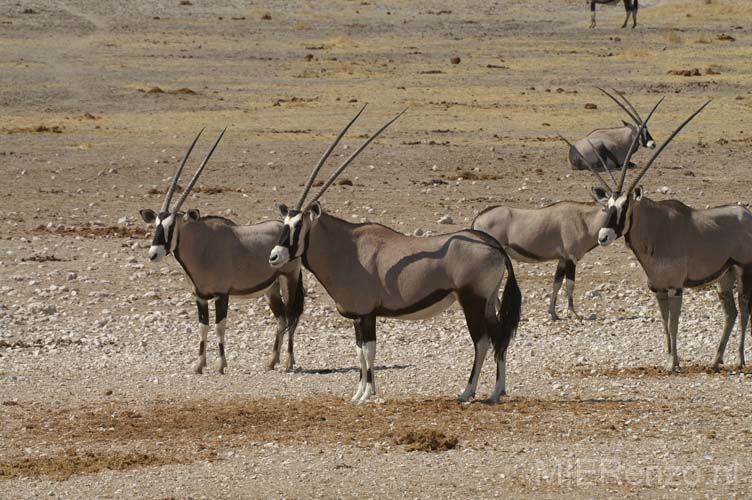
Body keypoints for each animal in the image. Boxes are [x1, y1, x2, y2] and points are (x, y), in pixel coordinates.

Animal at [140, 131, 304, 374]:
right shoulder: (199, 296)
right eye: (156, 225)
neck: (202, 246)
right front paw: (199, 365)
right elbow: (203, 328)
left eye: (171, 226)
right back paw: (271, 361)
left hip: (289, 278)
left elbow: (219, 327)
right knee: (282, 318)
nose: (153, 254)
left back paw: (288, 361)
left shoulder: (221, 294)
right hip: (271, 287)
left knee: (292, 315)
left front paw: (221, 364)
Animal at [268, 107, 520, 404]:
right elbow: (359, 351)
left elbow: (369, 351)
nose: (274, 256)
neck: (346, 248)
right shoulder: (357, 317)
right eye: (284, 223)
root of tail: (493, 245)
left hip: (472, 300)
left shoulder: (367, 313)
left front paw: (367, 394)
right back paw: (496, 392)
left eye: (298, 226)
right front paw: (358, 393)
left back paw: (467, 392)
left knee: (481, 341)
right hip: (488, 301)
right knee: (499, 337)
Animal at [580, 96, 748, 372]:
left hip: (745, 271)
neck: (655, 231)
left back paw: (741, 359)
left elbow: (673, 324)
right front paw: (669, 359)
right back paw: (716, 360)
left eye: (625, 207)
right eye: (607, 206)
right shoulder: (658, 289)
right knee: (731, 312)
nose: (603, 236)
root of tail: (746, 213)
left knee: (744, 308)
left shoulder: (675, 288)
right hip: (725, 276)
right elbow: (665, 325)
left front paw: (673, 364)